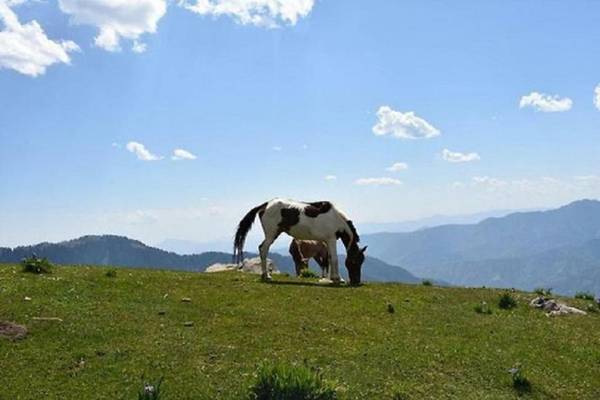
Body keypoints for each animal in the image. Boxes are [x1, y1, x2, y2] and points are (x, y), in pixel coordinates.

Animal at [233, 198, 366, 286]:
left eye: (361, 262)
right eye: (355, 261)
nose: (356, 281)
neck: (336, 219)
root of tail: (265, 205)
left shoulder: (327, 242)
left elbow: (328, 260)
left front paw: (333, 278)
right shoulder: (331, 239)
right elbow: (334, 259)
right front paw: (337, 279)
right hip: (272, 234)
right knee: (263, 249)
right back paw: (266, 276)